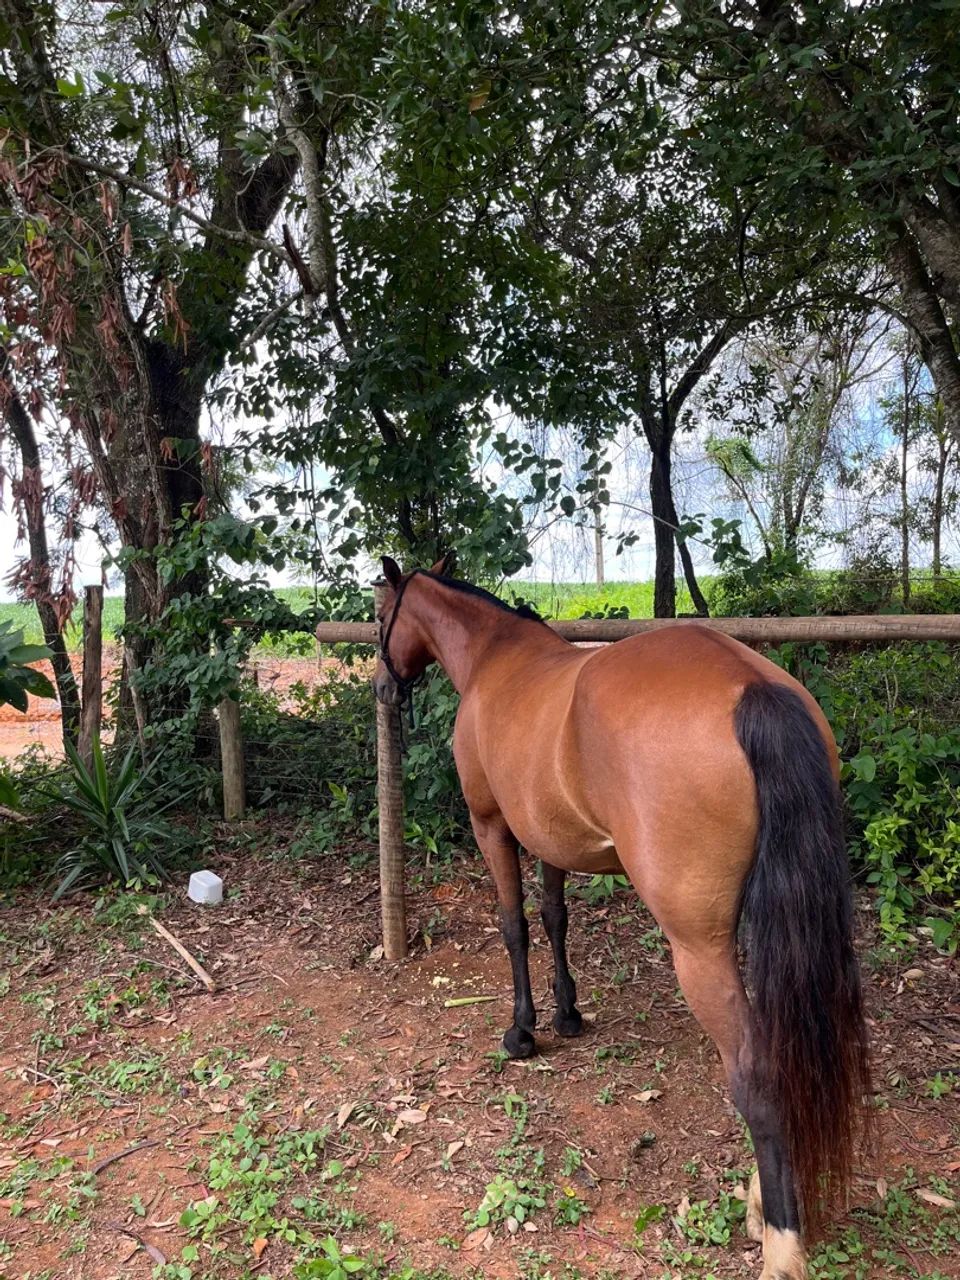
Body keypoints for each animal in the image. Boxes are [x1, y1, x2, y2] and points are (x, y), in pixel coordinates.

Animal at [372, 555, 870, 1280]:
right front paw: (567, 1014)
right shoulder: (550, 840)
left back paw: (780, 1238)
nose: (383, 686)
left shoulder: (493, 827)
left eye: (382, 612)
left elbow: (515, 926)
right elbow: (555, 918)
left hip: (700, 949)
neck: (495, 659)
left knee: (756, 1075)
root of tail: (751, 688)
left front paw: (522, 1031)